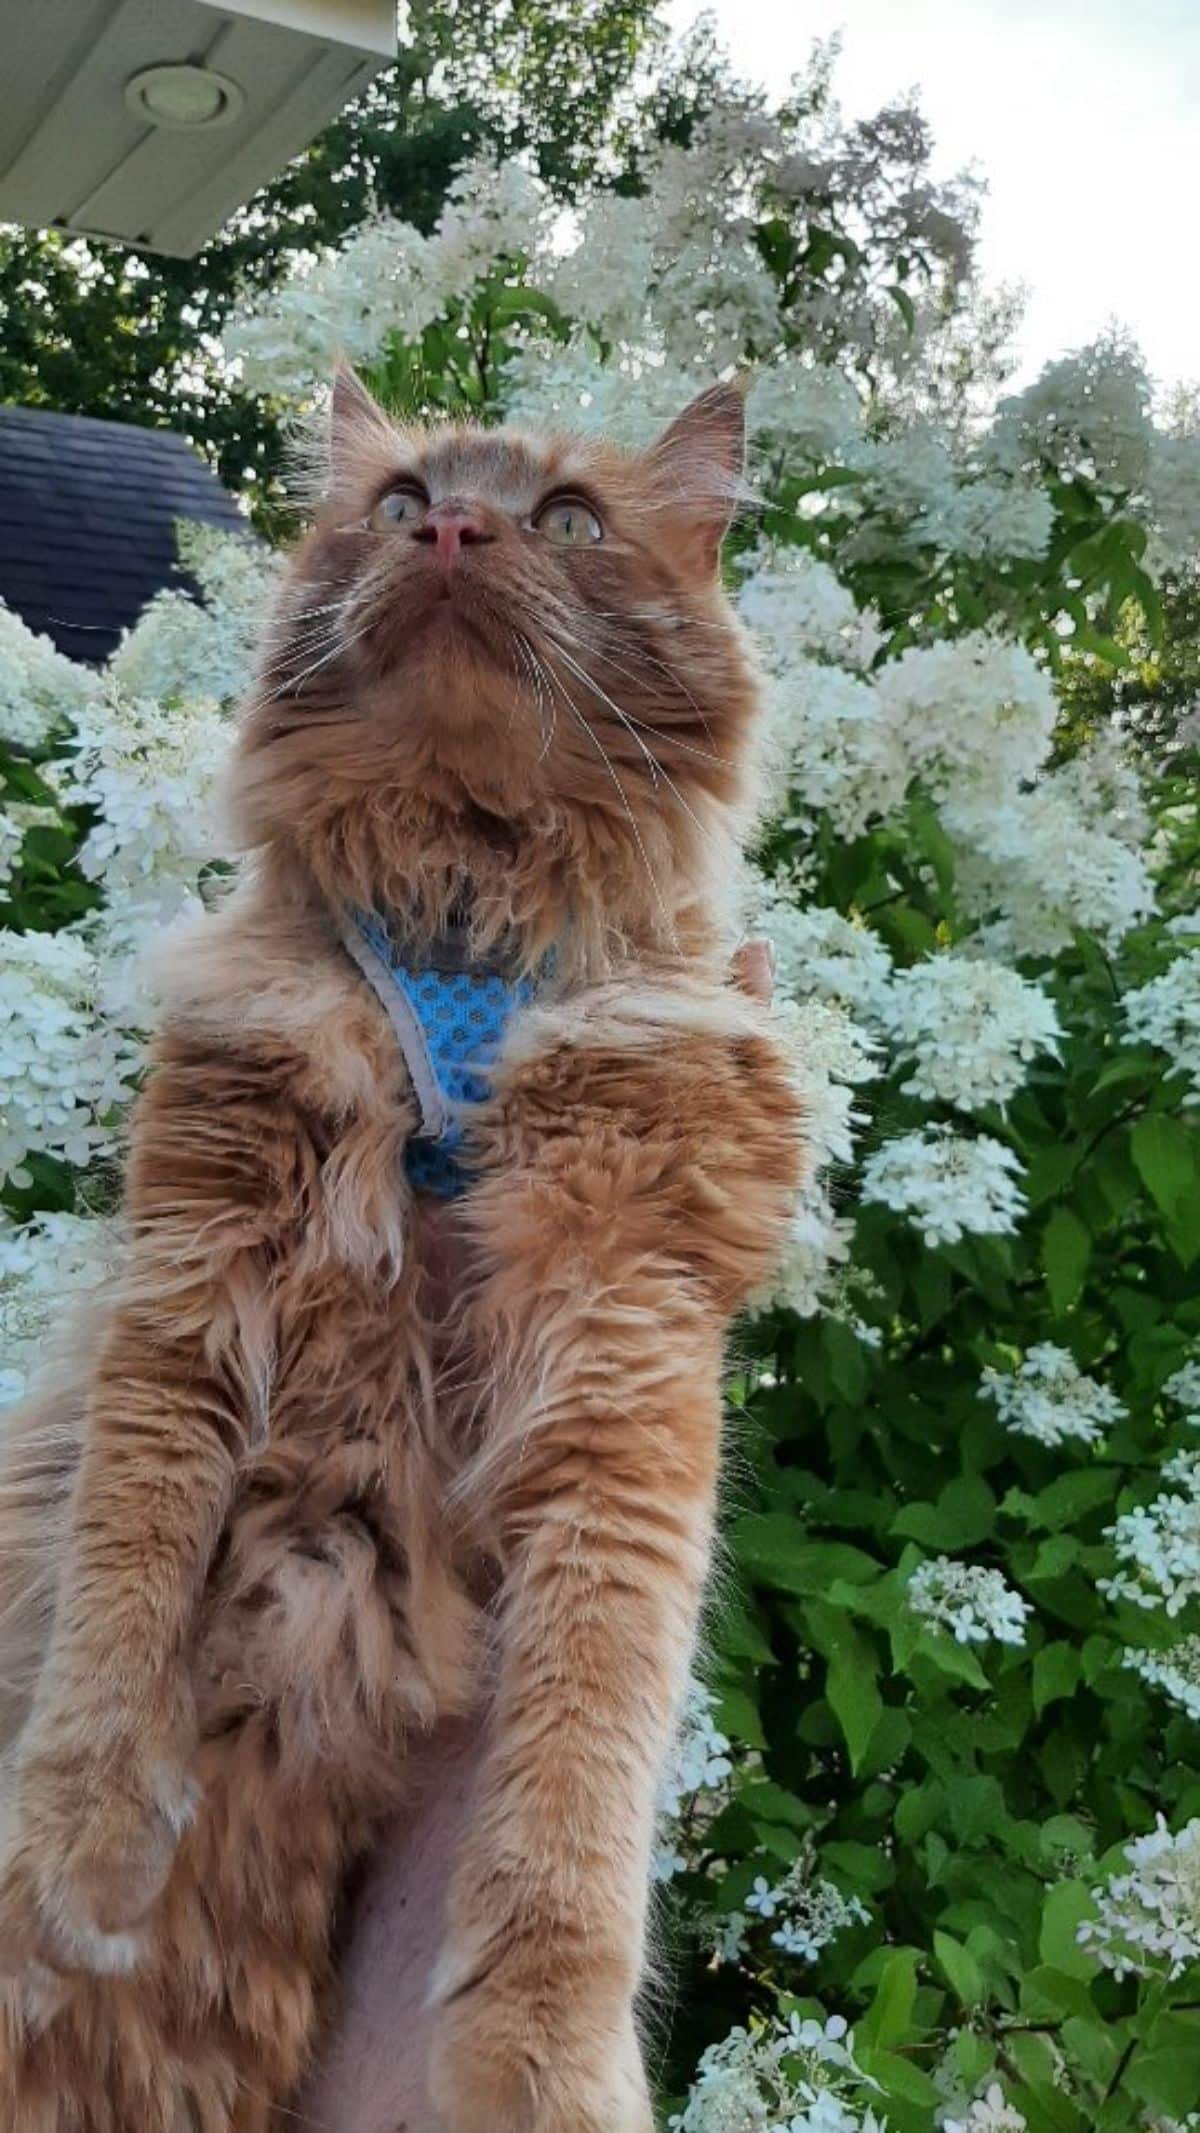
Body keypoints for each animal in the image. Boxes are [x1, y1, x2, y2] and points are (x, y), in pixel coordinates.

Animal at [2, 375, 805, 2124]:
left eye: (565, 518)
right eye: (397, 505)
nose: (452, 531)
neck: (462, 906)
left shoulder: (625, 1369)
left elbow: (575, 1791)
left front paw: (536, 2052)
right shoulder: (190, 1273)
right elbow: (115, 1611)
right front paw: (78, 1867)